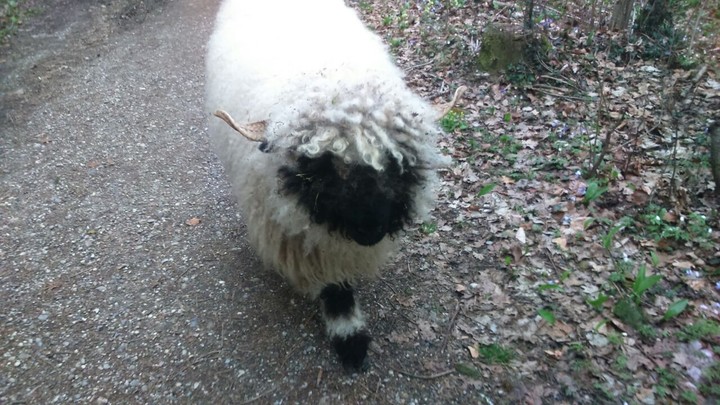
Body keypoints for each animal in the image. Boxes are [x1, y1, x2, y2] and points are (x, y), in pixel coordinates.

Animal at [205, 0, 463, 371]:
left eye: (396, 160)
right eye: (322, 167)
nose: (372, 229)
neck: (327, 76)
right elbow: (333, 286)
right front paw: (349, 340)